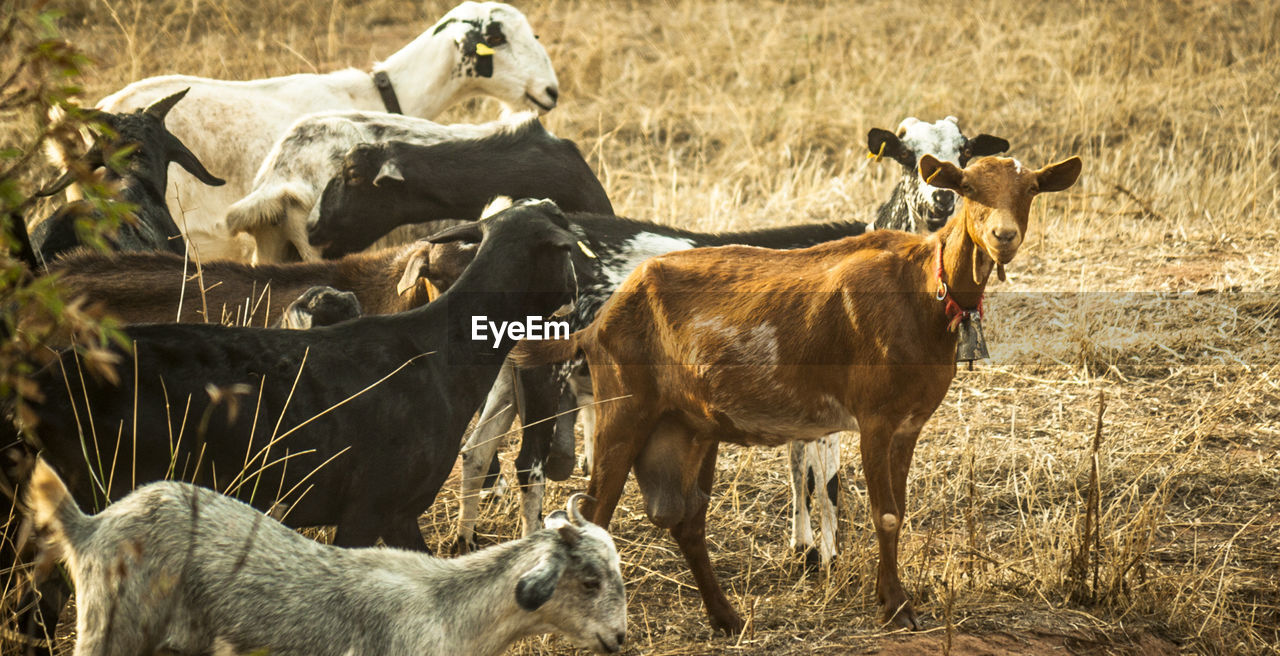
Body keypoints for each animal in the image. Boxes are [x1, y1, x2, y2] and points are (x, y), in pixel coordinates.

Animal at [514, 153, 1085, 630]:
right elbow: (885, 513)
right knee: (596, 513)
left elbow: (897, 509)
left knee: (688, 519)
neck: (925, 287)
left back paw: (727, 619)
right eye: (967, 187)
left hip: (690, 428)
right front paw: (895, 606)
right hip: (624, 409)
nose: (1004, 236)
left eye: (1031, 189)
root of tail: (598, 322)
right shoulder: (874, 418)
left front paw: (894, 597)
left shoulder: (909, 424)